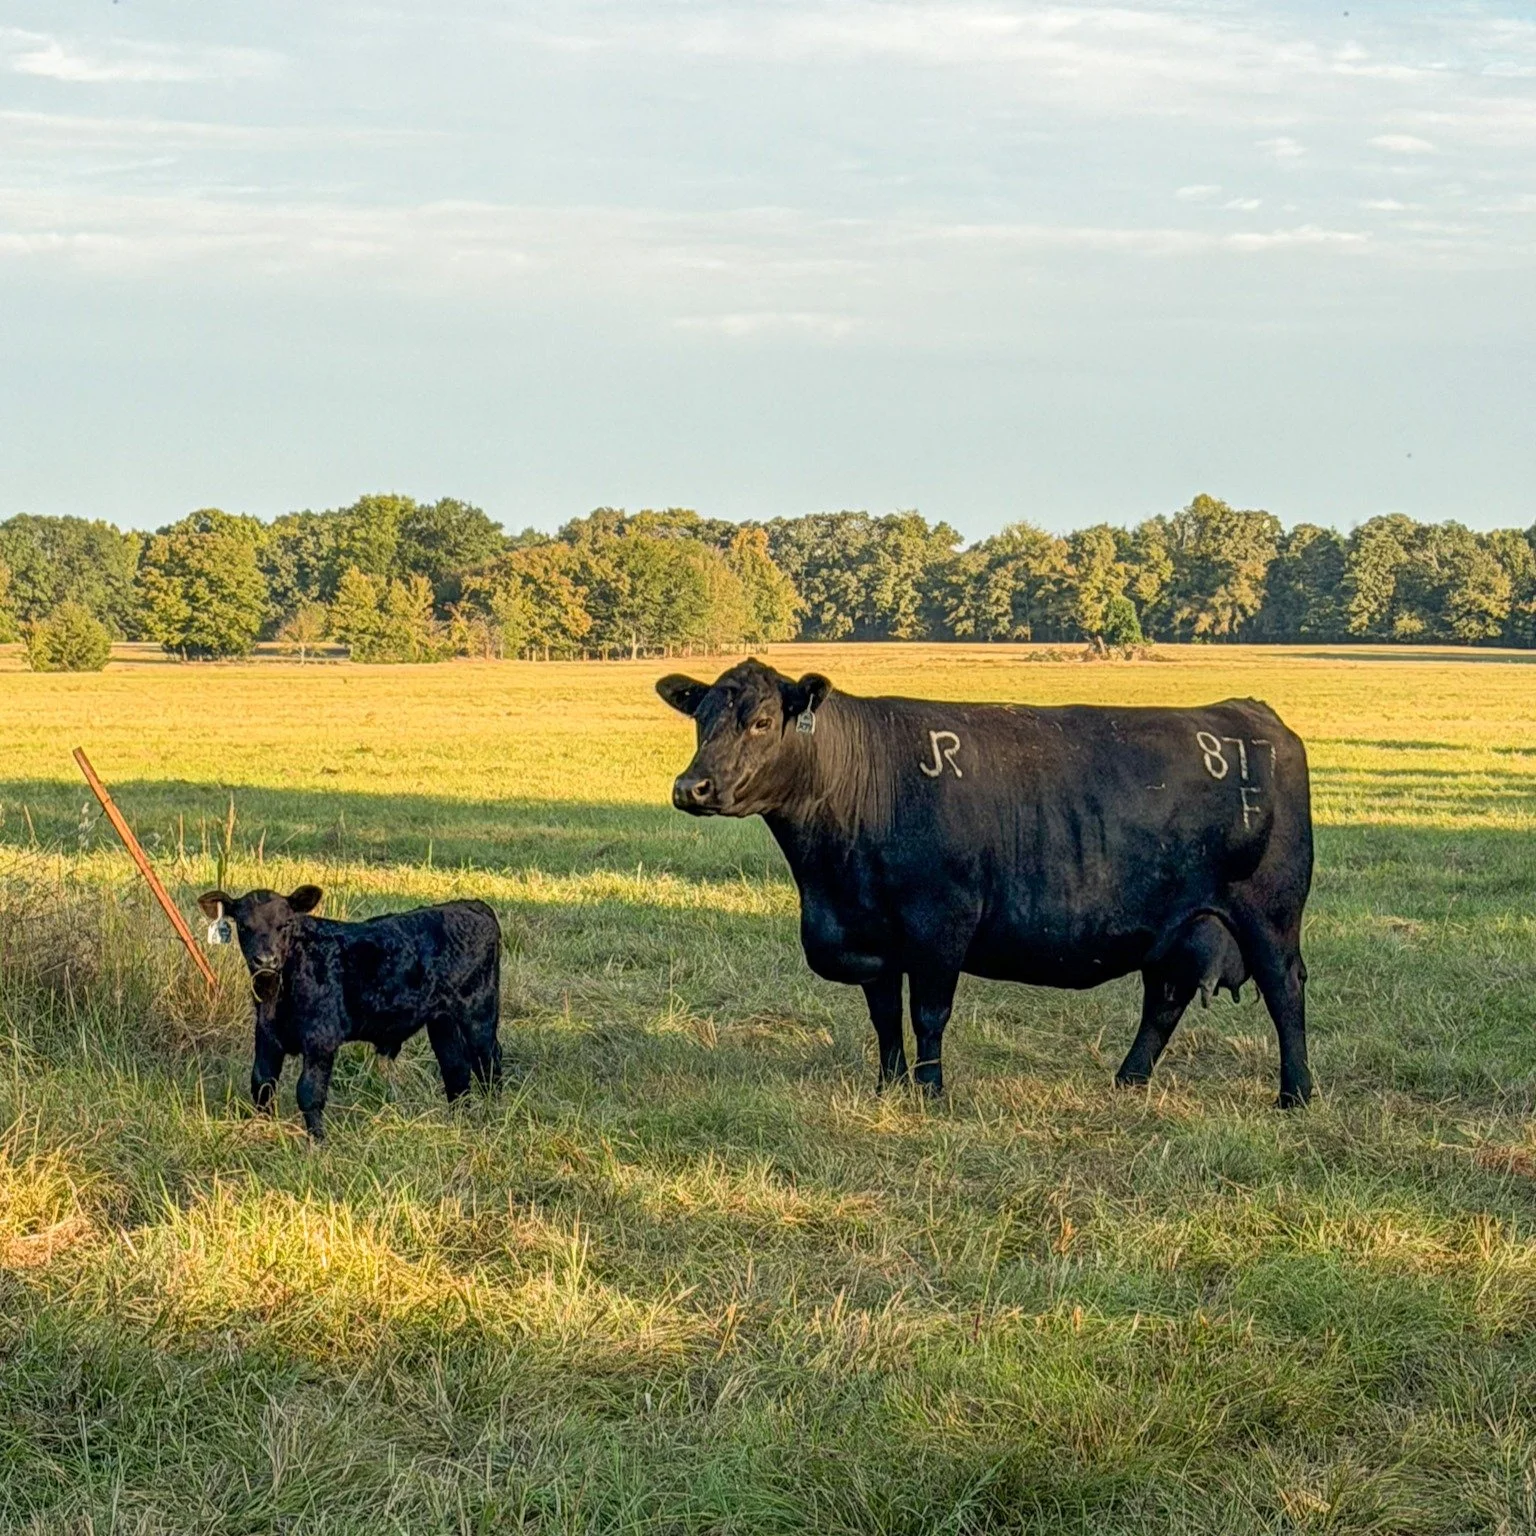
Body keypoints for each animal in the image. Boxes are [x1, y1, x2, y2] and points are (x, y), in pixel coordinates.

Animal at [197, 886, 503, 1140]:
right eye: (243, 926)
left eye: (285, 924)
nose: (266, 960)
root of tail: (470, 905)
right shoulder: (267, 1036)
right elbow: (261, 1084)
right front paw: (263, 1131)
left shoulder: (321, 1039)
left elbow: (309, 1092)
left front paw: (317, 1143)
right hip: (442, 1021)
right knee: (455, 1068)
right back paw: (458, 1120)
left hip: (479, 1014)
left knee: (488, 1060)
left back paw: (492, 1113)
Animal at [657, 659, 1315, 1107]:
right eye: (701, 721)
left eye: (764, 722)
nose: (692, 787)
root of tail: (1247, 711)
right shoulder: (870, 934)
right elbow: (883, 1016)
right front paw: (887, 1086)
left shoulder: (940, 922)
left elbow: (928, 1013)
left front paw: (930, 1092)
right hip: (1174, 925)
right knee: (1165, 999)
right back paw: (1127, 1081)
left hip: (1270, 915)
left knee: (1284, 991)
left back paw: (1296, 1094)